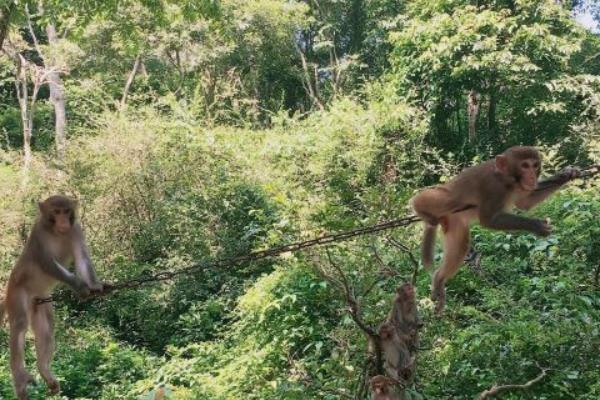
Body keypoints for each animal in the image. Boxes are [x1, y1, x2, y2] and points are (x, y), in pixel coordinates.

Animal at [0, 197, 108, 400]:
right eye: (56, 212)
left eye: (66, 211)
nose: (63, 221)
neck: (54, 231)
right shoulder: (38, 234)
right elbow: (48, 263)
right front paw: (79, 286)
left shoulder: (76, 230)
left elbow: (81, 258)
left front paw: (94, 284)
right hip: (16, 293)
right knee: (19, 325)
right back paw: (20, 379)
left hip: (40, 300)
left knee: (46, 328)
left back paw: (44, 370)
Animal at [410, 145, 580, 314]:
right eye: (524, 166)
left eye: (535, 165)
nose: (532, 176)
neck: (507, 180)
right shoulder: (492, 187)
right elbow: (488, 220)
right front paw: (536, 226)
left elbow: (525, 203)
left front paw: (566, 175)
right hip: (446, 201)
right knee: (446, 199)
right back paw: (421, 208)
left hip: (454, 222)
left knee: (460, 245)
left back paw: (439, 279)